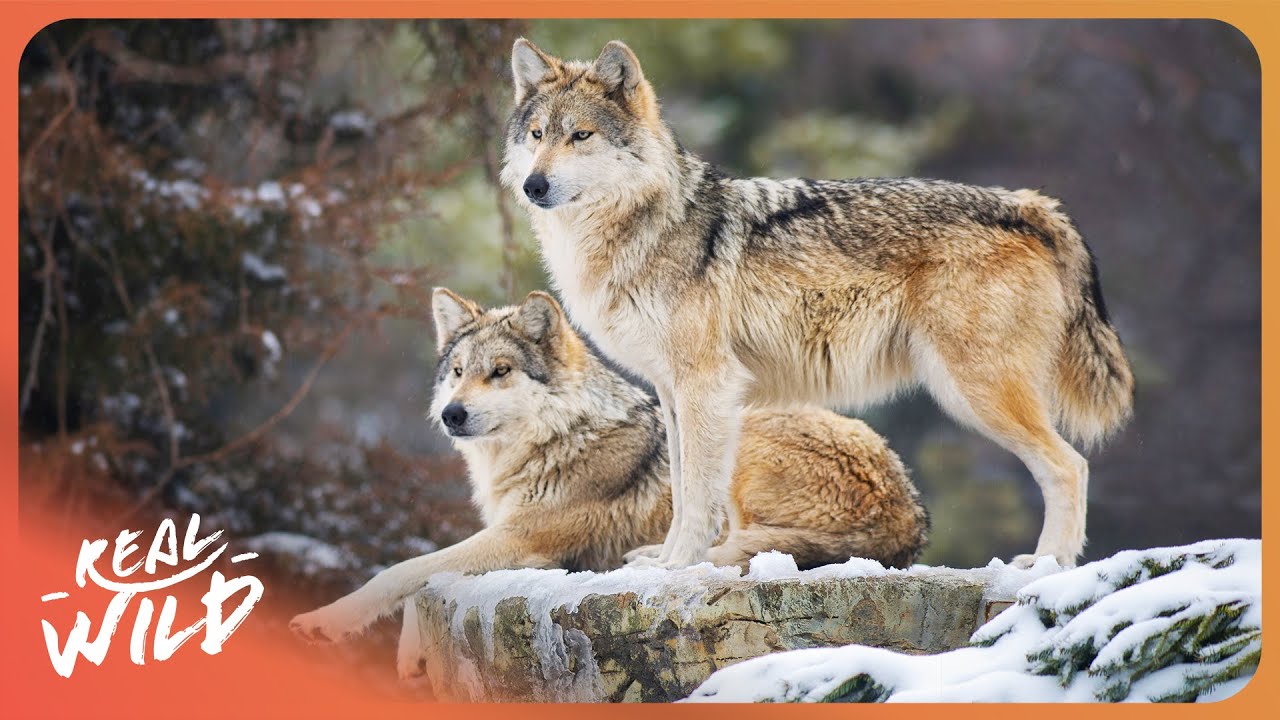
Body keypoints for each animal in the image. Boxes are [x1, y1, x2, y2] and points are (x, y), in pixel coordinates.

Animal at [289, 288, 929, 662]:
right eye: (458, 371)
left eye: (501, 371)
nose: (452, 414)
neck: (553, 441)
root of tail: (909, 514)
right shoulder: (506, 538)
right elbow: (424, 580)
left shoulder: (521, 539)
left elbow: (404, 571)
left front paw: (324, 622)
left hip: (736, 435)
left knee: (730, 549)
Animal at [499, 39, 1134, 570]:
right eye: (537, 134)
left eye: (580, 136)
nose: (533, 186)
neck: (638, 229)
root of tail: (1026, 203)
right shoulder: (672, 392)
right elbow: (680, 489)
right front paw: (665, 561)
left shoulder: (707, 383)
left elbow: (698, 496)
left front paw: (676, 567)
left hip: (973, 391)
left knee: (1070, 465)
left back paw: (1048, 564)